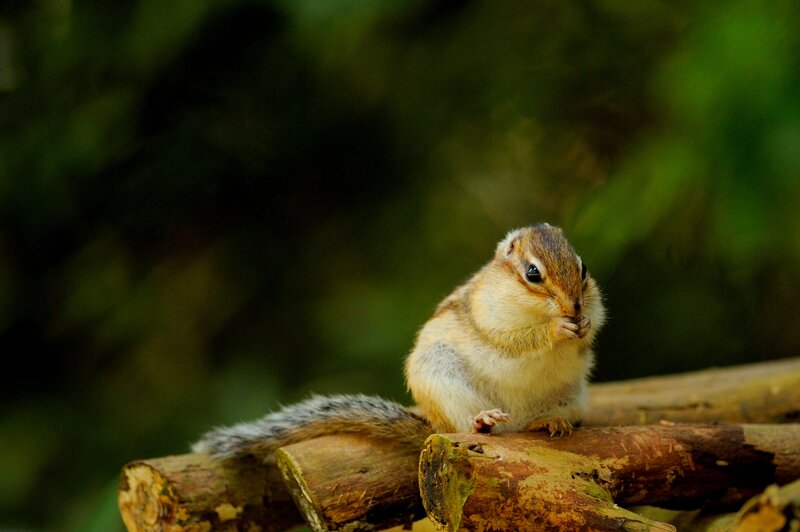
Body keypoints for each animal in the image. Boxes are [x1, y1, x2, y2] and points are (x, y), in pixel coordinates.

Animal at [192, 223, 605, 460]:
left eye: (583, 269)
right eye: (533, 273)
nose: (574, 306)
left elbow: (592, 329)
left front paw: (584, 325)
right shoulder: (488, 318)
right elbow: (515, 342)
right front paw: (557, 330)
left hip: (571, 396)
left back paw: (549, 422)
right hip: (442, 378)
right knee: (473, 428)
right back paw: (483, 420)